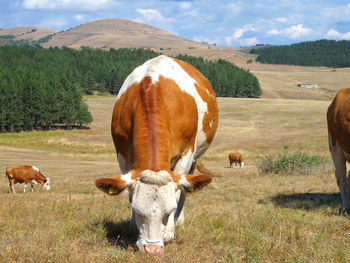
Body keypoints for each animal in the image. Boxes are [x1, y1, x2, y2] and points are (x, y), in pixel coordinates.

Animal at [94, 55, 217, 256]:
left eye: (168, 212)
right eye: (137, 211)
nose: (151, 249)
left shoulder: (186, 154)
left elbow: (178, 192)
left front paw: (169, 232)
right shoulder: (122, 155)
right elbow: (129, 193)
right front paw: (132, 226)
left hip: (195, 157)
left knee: (186, 189)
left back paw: (180, 221)